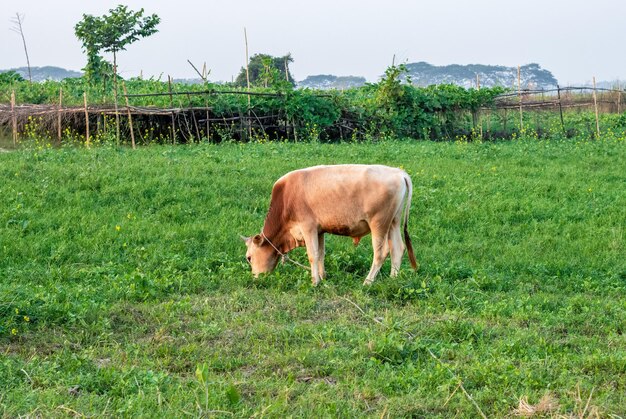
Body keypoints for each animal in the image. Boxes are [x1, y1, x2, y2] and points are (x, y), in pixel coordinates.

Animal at [241, 164, 416, 286]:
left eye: (249, 257)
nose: (255, 278)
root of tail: (398, 172)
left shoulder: (308, 227)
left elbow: (312, 255)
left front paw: (315, 282)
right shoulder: (319, 231)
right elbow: (321, 254)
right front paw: (322, 277)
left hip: (379, 223)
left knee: (381, 252)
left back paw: (367, 282)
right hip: (394, 222)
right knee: (397, 248)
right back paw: (393, 279)